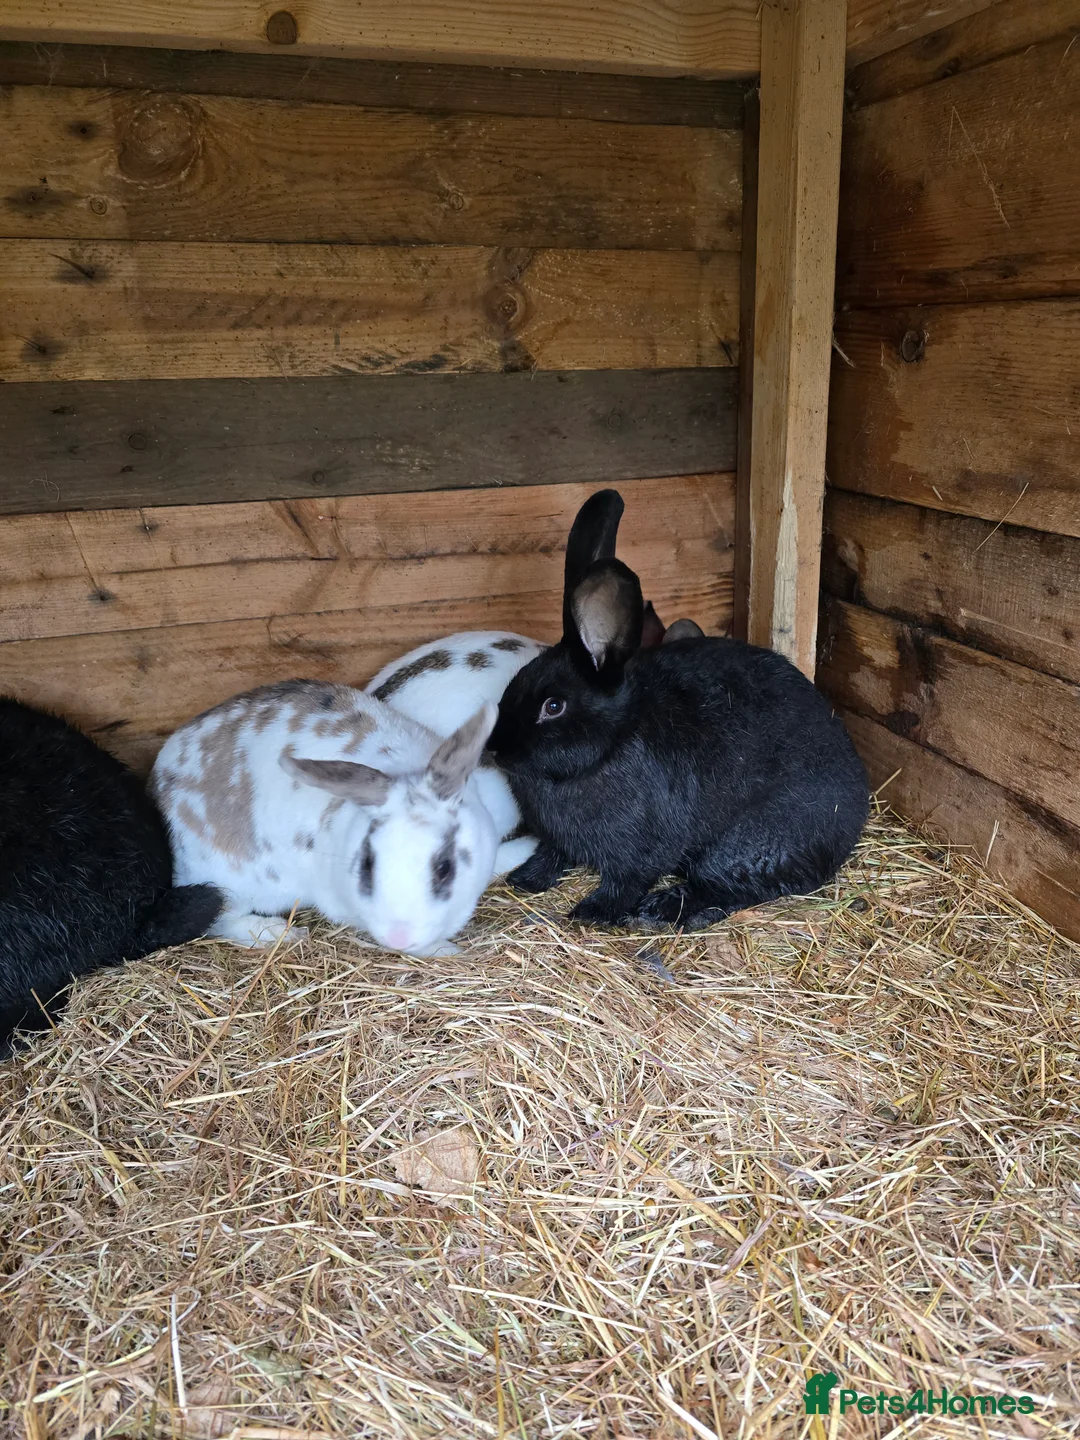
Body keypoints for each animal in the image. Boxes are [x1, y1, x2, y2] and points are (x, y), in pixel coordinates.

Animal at [150, 680, 535, 958]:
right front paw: (448, 951)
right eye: (367, 864)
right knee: (218, 921)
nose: (399, 936)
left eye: (444, 868)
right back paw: (281, 933)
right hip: (227, 885)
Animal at [487, 490, 870, 931]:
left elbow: (627, 878)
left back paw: (662, 909)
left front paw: (593, 912)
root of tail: (853, 820)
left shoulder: (642, 848)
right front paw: (526, 880)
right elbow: (552, 853)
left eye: (553, 706)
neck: (611, 745)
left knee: (730, 888)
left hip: (743, 844)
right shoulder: (557, 840)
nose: (493, 748)